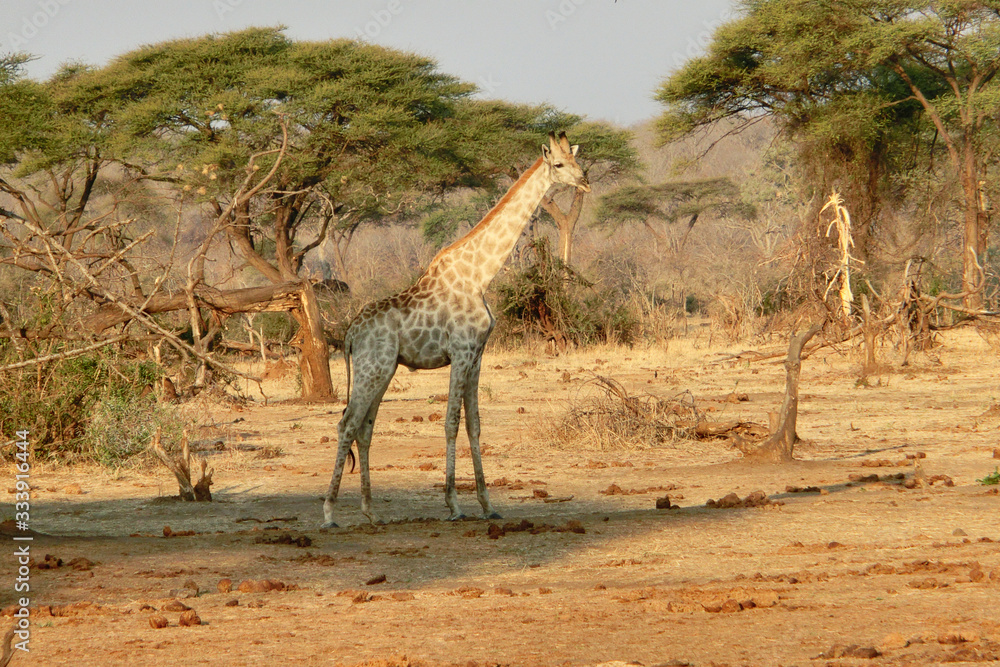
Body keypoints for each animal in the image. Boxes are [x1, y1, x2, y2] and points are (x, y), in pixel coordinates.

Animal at [322, 132, 590, 527]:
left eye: (576, 161)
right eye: (558, 164)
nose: (585, 180)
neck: (479, 275)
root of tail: (350, 334)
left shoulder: (477, 355)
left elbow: (474, 424)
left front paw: (487, 505)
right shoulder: (461, 352)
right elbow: (450, 421)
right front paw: (454, 504)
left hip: (384, 369)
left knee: (365, 427)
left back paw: (371, 512)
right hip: (373, 367)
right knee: (347, 425)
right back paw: (328, 512)